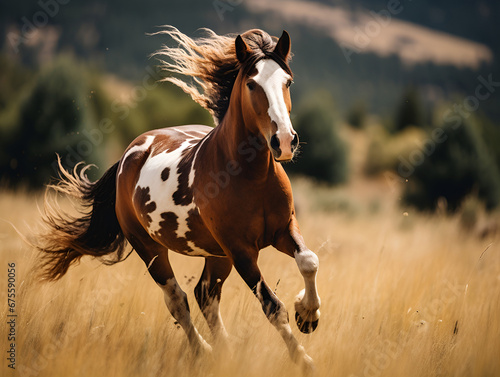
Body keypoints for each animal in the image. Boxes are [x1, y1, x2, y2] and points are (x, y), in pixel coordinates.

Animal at [37, 25, 322, 370]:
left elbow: (308, 261)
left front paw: (308, 315)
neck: (251, 177)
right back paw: (206, 352)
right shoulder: (241, 250)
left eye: (287, 81)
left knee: (204, 295)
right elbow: (272, 306)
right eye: (252, 83)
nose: (283, 141)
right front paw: (304, 359)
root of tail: (128, 156)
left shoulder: (283, 230)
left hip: (216, 255)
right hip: (152, 249)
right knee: (178, 299)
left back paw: (224, 351)